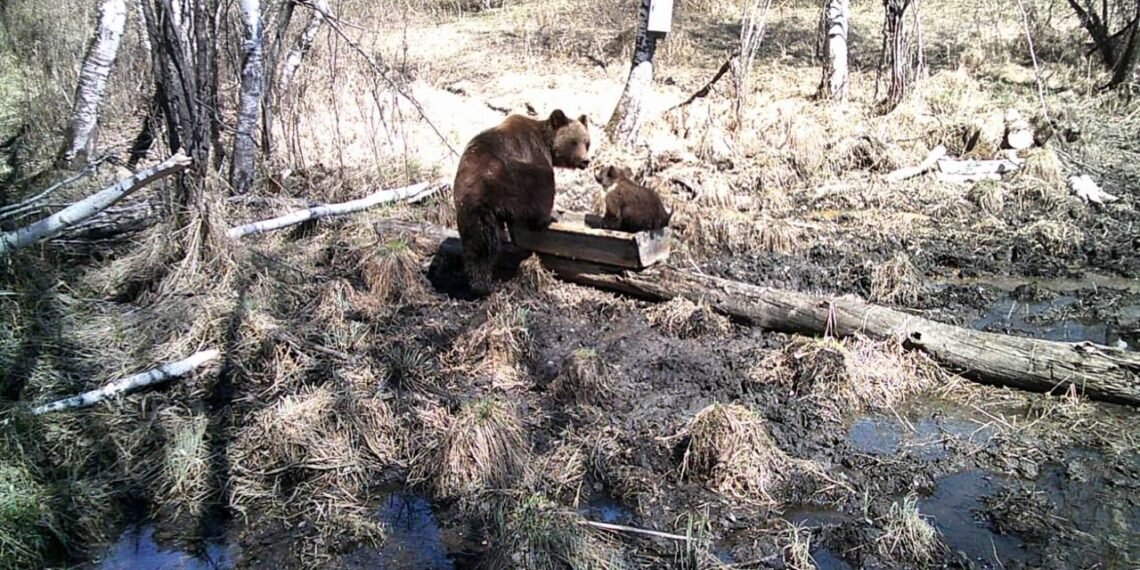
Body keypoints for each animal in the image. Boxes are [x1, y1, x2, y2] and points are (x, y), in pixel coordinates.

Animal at [453, 108, 597, 296]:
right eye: (574, 142)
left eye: (587, 142)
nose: (585, 161)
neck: (547, 143)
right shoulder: (533, 150)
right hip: (513, 180)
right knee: (543, 187)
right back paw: (547, 218)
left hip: (469, 205)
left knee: (478, 243)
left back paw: (480, 283)